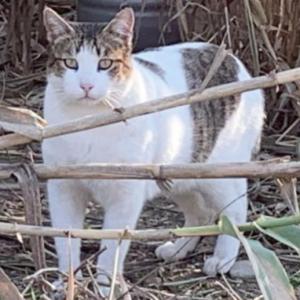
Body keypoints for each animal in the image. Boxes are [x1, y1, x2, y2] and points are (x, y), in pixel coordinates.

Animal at [42, 5, 264, 292]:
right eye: (71, 63)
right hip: (175, 174)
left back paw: (223, 258)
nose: (86, 86)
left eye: (105, 64)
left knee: (235, 210)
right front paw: (67, 282)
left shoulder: (126, 193)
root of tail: (233, 59)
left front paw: (106, 284)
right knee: (200, 212)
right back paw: (178, 248)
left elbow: (113, 244)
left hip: (218, 173)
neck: (89, 121)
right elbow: (65, 238)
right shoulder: (63, 187)